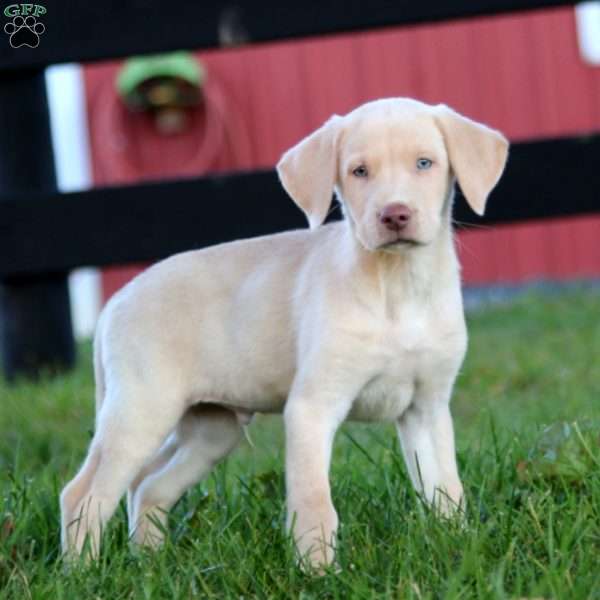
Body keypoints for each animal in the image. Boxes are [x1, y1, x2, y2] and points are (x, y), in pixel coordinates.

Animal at [61, 97, 506, 568]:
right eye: (359, 171)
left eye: (425, 163)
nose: (395, 214)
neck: (398, 289)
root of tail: (114, 302)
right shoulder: (312, 407)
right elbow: (314, 502)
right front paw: (319, 572)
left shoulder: (427, 408)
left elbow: (445, 489)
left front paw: (457, 546)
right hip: (141, 411)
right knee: (84, 494)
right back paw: (82, 572)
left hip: (211, 429)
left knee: (148, 485)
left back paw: (150, 561)